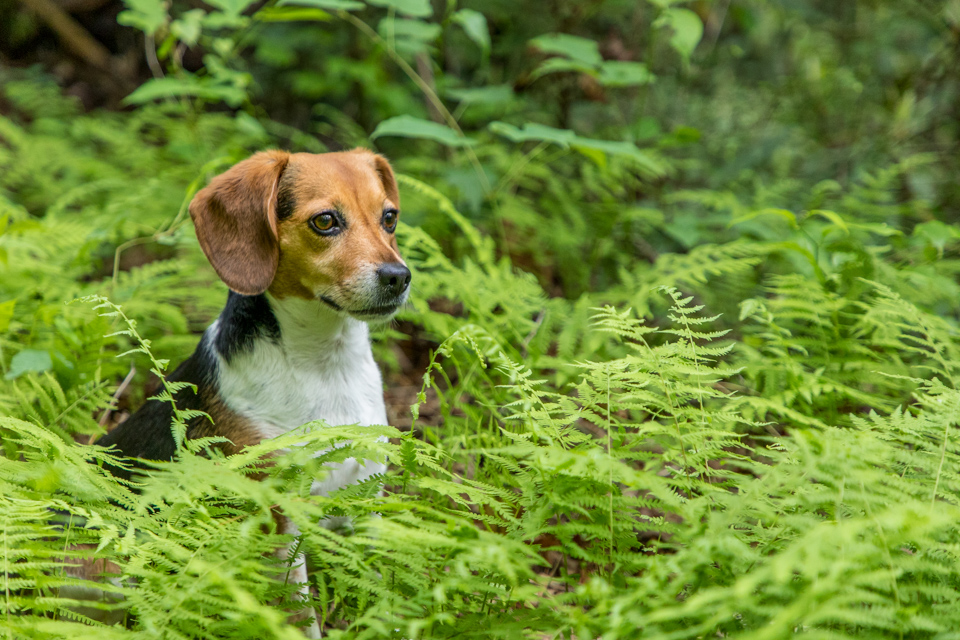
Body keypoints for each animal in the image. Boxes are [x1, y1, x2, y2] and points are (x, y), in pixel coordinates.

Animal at [96, 149, 408, 636]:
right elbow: (300, 618)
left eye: (389, 217)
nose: (399, 276)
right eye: (325, 221)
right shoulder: (277, 522)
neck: (325, 367)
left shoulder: (366, 502)